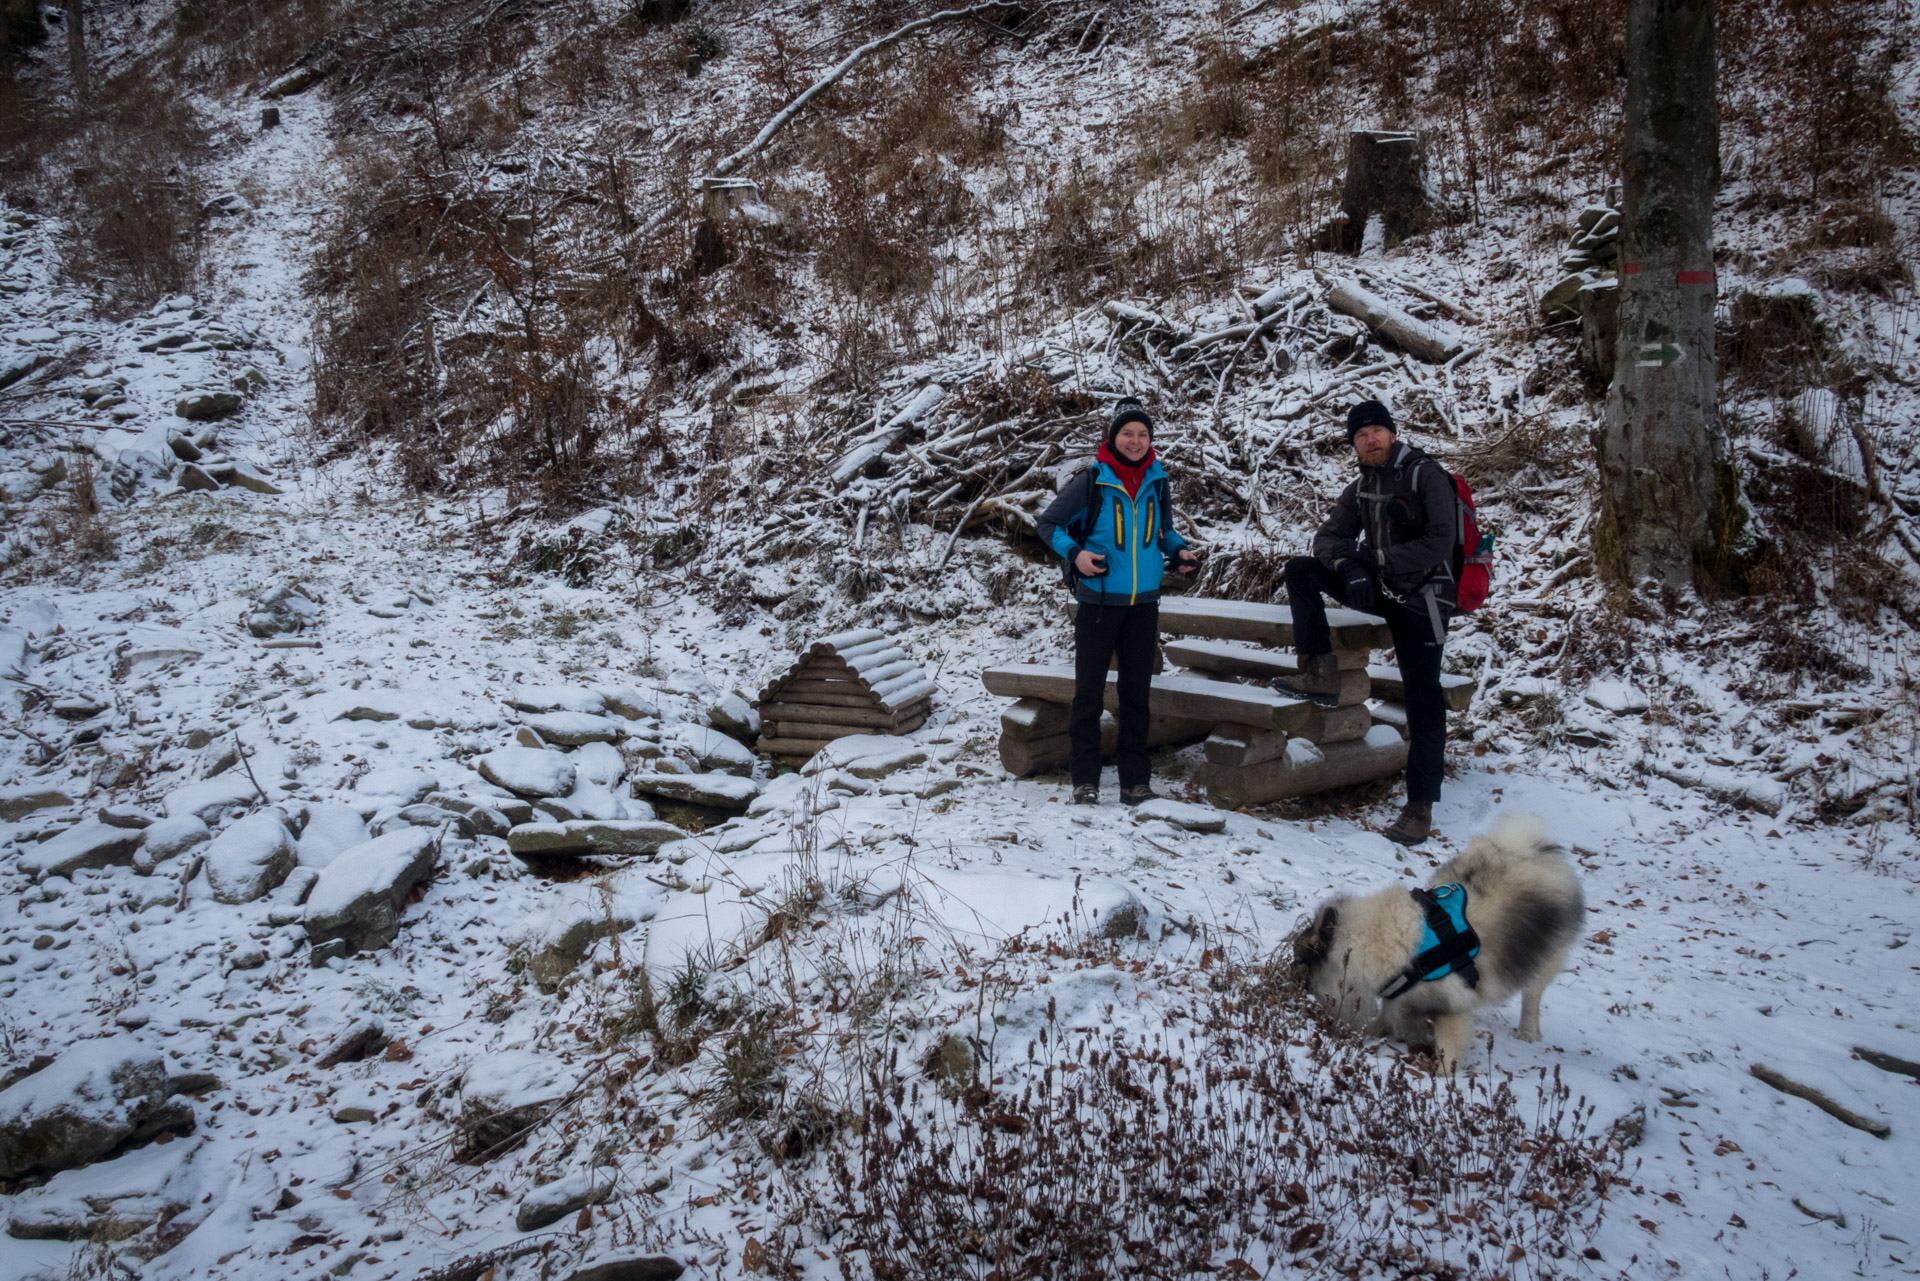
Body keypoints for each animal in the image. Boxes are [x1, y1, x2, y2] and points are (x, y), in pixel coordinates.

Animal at [1290, 810, 1589, 1075]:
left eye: (1300, 958)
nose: (1289, 973)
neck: (1374, 939)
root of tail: (1533, 850)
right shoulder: (1399, 993)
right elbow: (1388, 1013)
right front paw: (1374, 1031)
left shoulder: (1450, 1007)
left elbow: (1449, 1046)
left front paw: (1443, 1074)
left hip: (1545, 955)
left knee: (1532, 995)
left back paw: (1527, 1031)